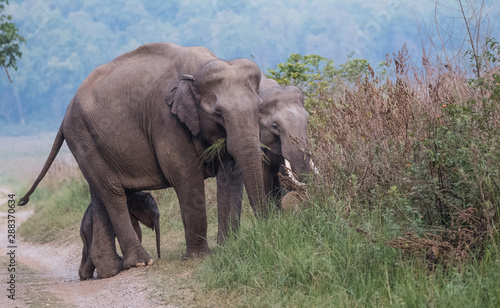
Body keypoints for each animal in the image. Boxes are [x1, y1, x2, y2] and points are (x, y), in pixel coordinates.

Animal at [20, 42, 266, 276]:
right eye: (218, 114)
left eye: (260, 109)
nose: (269, 225)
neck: (200, 66)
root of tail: (66, 111)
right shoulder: (166, 121)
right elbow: (186, 177)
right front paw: (199, 257)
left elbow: (230, 176)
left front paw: (227, 248)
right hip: (82, 137)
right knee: (113, 193)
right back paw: (140, 262)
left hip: (91, 141)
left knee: (100, 194)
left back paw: (110, 270)